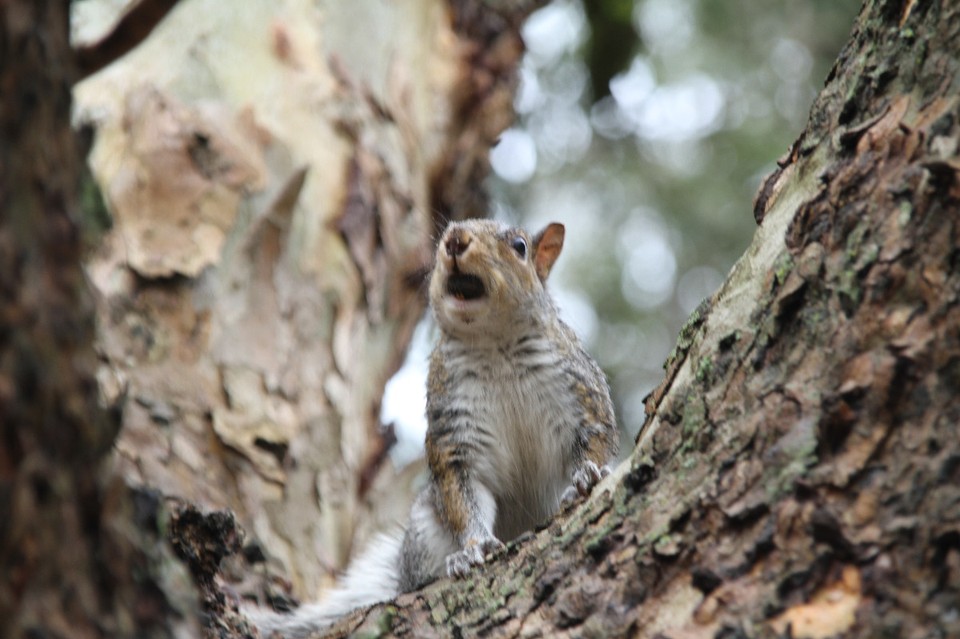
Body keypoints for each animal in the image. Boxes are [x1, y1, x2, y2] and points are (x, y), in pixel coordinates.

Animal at [248, 219, 620, 636]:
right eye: (443, 237)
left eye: (520, 246)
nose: (455, 240)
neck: (496, 345)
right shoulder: (456, 436)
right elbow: (464, 495)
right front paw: (473, 548)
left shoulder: (582, 395)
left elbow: (596, 437)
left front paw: (586, 475)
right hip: (425, 531)